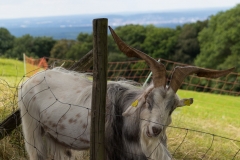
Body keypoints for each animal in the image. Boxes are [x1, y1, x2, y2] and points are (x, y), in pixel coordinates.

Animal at [18, 26, 234, 159]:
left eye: (172, 108)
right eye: (148, 101)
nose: (155, 130)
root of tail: (31, 81)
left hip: (58, 139)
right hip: (32, 129)